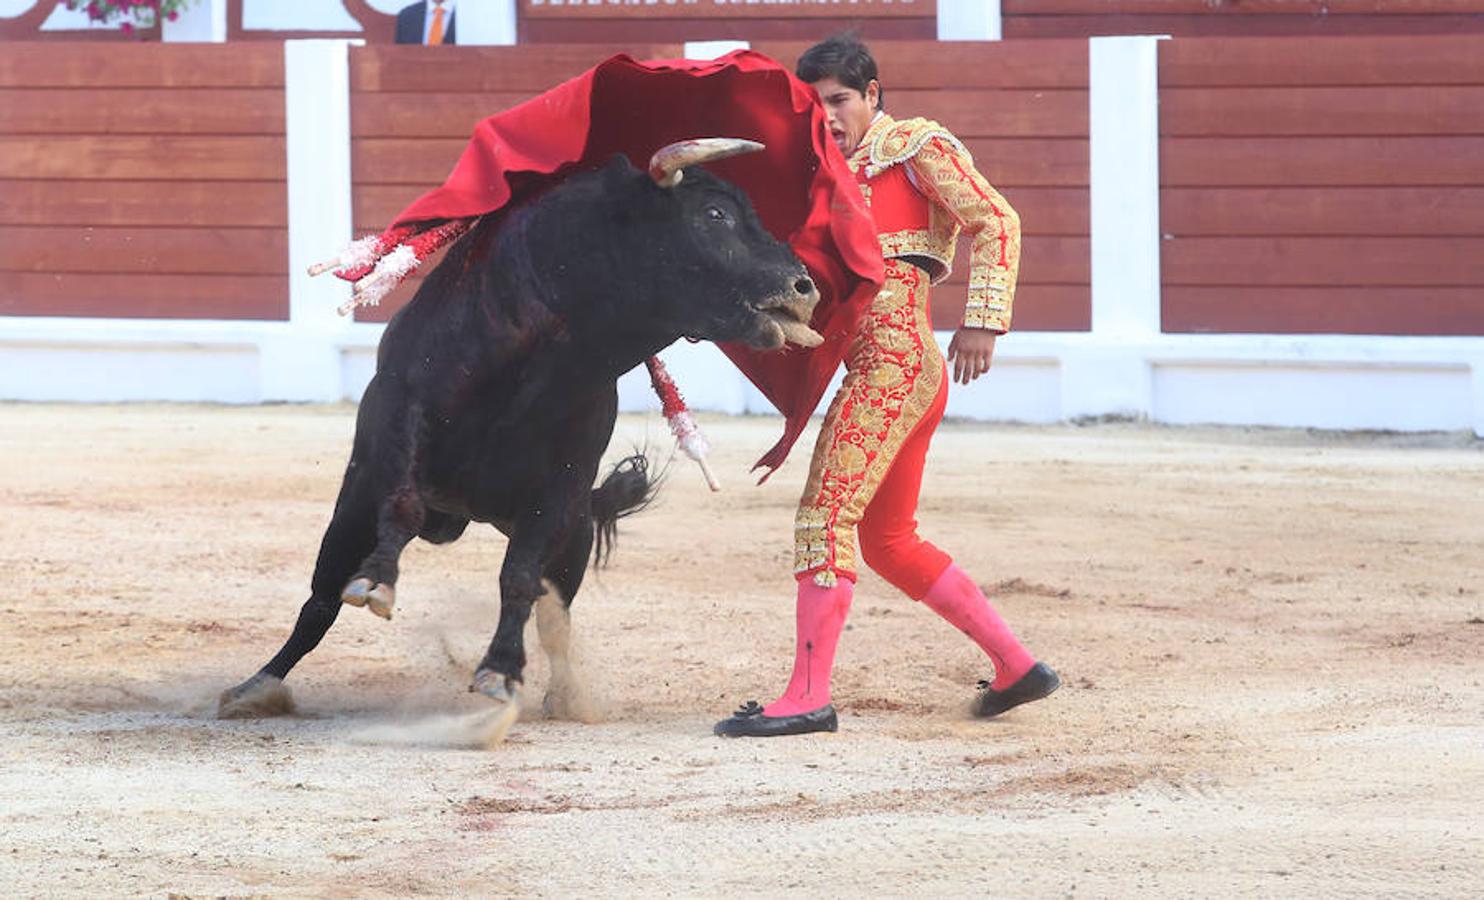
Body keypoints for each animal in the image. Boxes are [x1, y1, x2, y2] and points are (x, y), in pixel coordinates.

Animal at [219, 148, 825, 727]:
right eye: (715, 214)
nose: (805, 288)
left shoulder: (561, 488)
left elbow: (519, 577)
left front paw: (501, 672)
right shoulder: (398, 423)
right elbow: (401, 510)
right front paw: (378, 583)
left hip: (575, 534)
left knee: (553, 613)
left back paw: (565, 696)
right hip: (353, 507)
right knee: (322, 596)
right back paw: (256, 686)